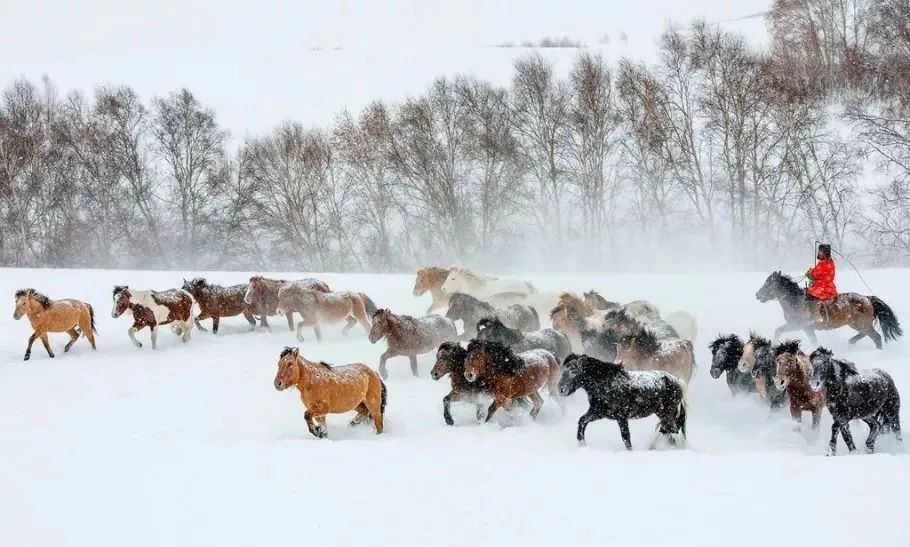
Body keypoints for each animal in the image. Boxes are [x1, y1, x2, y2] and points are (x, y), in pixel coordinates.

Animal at [556, 356, 692, 450]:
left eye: (573, 371)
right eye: (563, 370)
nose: (560, 389)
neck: (605, 383)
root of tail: (677, 382)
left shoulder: (621, 417)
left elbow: (626, 437)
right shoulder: (598, 412)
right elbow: (582, 420)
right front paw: (582, 444)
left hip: (667, 413)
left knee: (672, 430)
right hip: (663, 414)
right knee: (668, 430)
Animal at [756, 272, 904, 348]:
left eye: (769, 284)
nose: (757, 295)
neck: (796, 301)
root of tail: (868, 299)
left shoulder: (797, 325)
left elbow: (778, 330)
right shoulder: (807, 328)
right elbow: (813, 341)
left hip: (862, 324)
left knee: (876, 337)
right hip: (857, 324)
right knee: (866, 335)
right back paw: (851, 343)